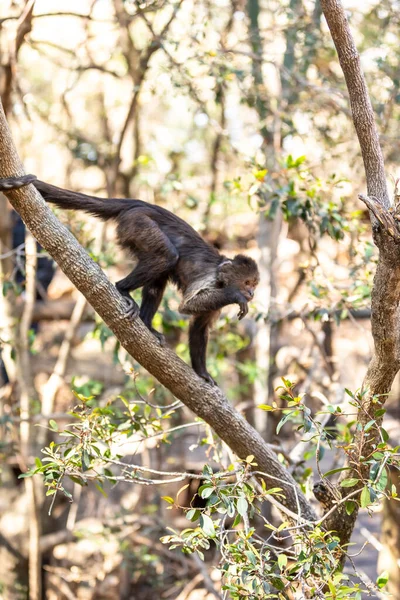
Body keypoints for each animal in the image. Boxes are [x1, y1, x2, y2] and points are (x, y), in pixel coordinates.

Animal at [0, 173, 260, 384]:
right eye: (247, 283)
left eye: (254, 285)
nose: (251, 293)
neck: (220, 275)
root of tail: (138, 202)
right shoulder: (210, 279)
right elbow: (188, 306)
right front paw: (234, 295)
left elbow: (199, 325)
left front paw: (202, 373)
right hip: (137, 223)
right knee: (167, 257)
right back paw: (122, 289)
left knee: (160, 274)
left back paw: (146, 323)